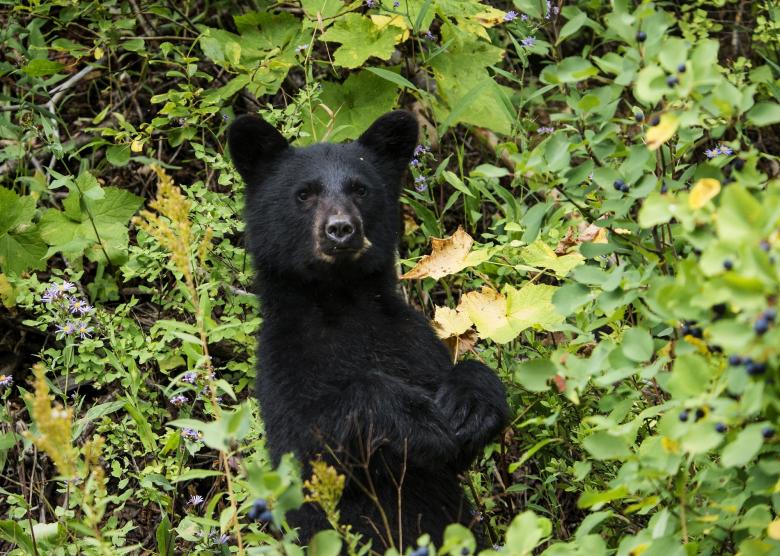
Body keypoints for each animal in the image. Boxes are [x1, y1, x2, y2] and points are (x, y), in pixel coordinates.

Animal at [227, 110, 509, 552]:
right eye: (304, 193)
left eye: (360, 189)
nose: (341, 229)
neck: (341, 303)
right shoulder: (284, 362)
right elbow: (310, 438)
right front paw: (415, 418)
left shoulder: (410, 339)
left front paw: (469, 405)